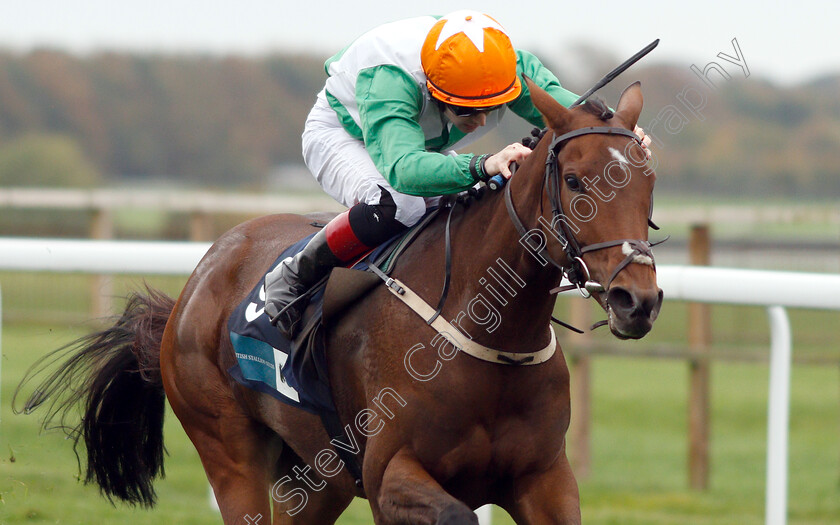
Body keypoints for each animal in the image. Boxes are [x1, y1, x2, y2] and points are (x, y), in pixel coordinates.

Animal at [16, 79, 664, 524]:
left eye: (649, 180)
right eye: (575, 181)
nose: (638, 299)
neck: (490, 334)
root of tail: (198, 278)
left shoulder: (545, 478)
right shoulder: (388, 475)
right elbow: (452, 511)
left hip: (315, 476)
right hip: (229, 452)